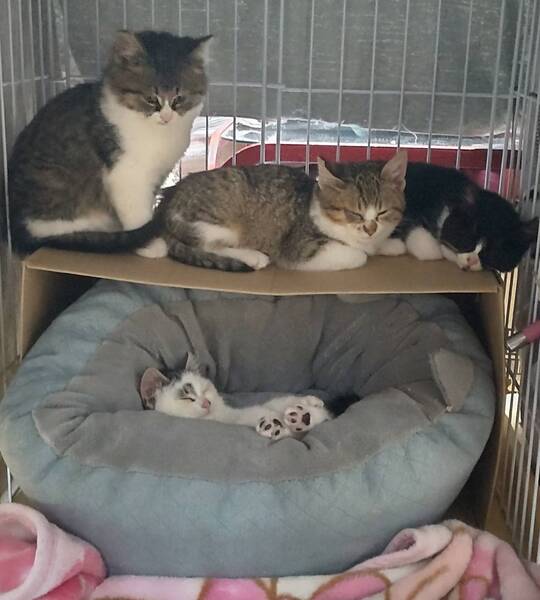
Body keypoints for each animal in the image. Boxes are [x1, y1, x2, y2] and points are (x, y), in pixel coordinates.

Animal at [8, 30, 211, 257]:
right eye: (151, 99)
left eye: (179, 99)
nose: (166, 117)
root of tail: (19, 230)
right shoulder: (126, 175)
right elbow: (137, 213)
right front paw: (151, 245)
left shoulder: (157, 174)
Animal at [139, 354, 358, 440]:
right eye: (187, 398)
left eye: (205, 389)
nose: (206, 402)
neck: (217, 418)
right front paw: (272, 426)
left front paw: (309, 402)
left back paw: (303, 412)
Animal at [153, 151, 408, 271]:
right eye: (353, 213)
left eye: (382, 212)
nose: (370, 229)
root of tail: (167, 202)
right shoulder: (299, 248)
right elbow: (358, 255)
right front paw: (364, 251)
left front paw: (391, 244)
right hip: (216, 220)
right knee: (208, 246)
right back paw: (254, 257)